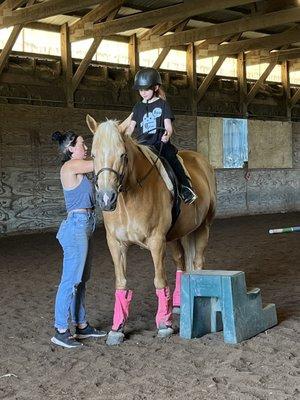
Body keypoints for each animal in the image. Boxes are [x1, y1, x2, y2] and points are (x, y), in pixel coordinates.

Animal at [86, 114, 216, 346]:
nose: (106, 199)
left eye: (122, 155)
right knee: (182, 263)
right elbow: (121, 284)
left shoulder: (156, 242)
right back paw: (178, 304)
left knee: (198, 263)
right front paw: (117, 329)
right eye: (92, 155)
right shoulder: (116, 244)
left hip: (203, 227)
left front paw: (164, 324)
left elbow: (159, 281)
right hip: (178, 235)